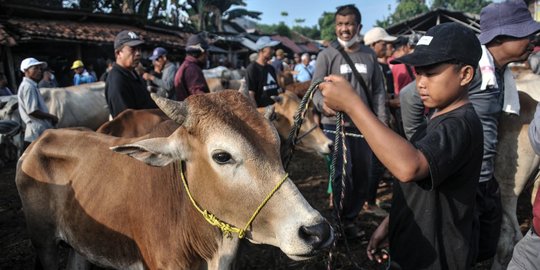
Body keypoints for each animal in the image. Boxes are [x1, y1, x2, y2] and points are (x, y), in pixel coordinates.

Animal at [16, 91, 334, 270]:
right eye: (222, 156)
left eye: (277, 142)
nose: (316, 231)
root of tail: (37, 143)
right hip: (44, 243)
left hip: (79, 246)